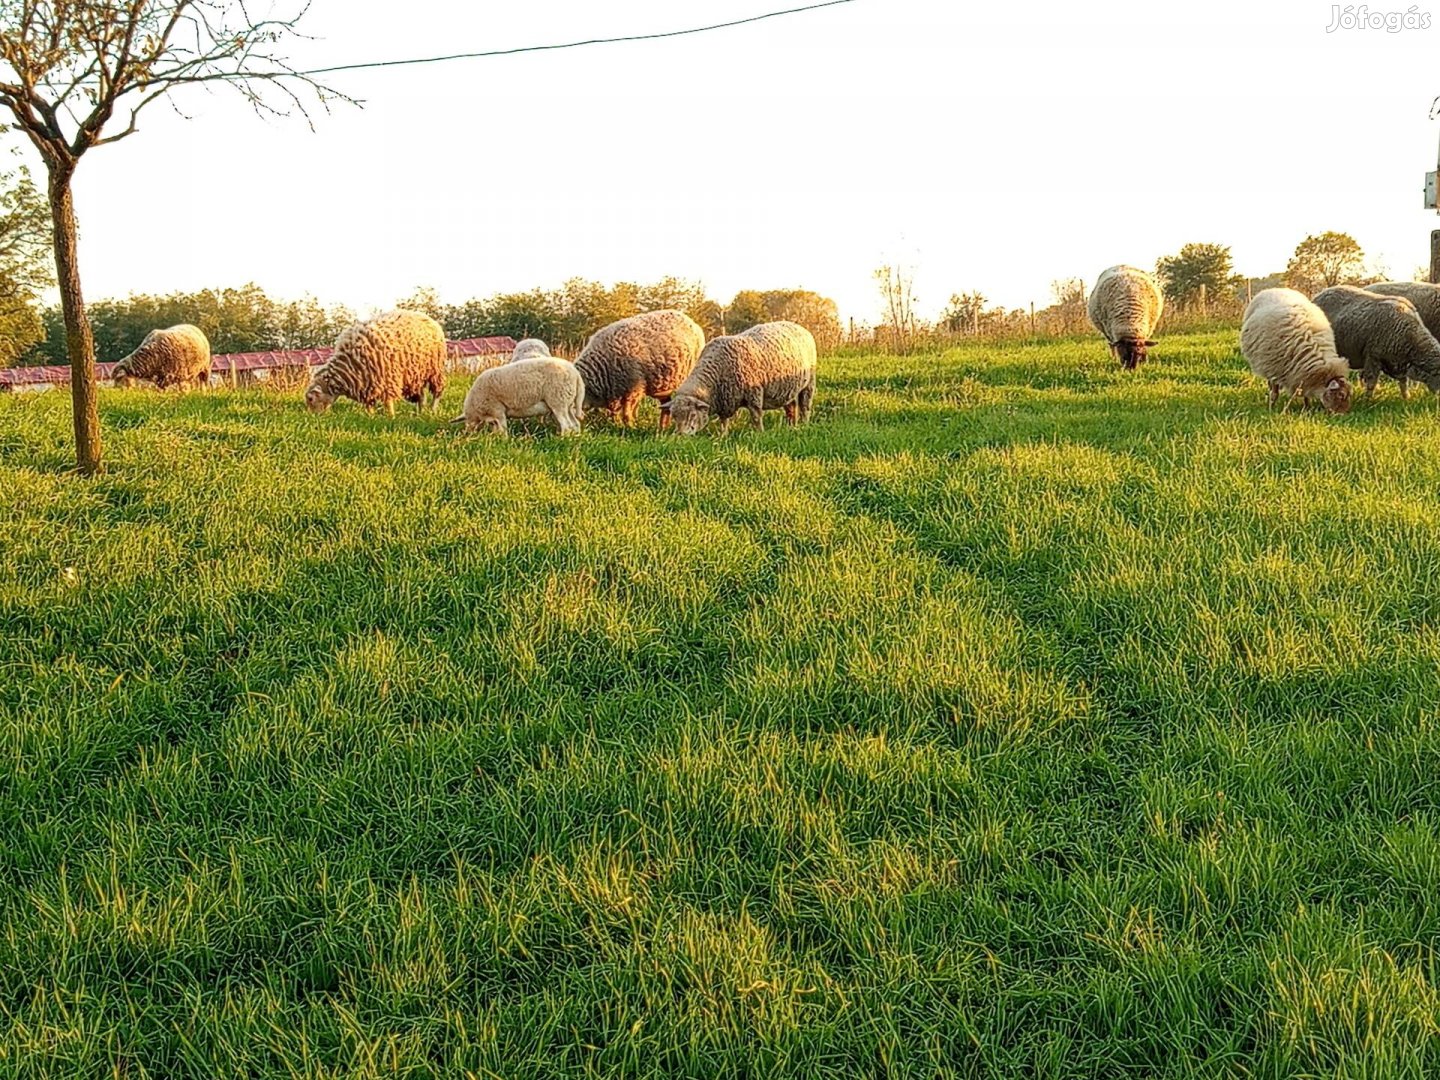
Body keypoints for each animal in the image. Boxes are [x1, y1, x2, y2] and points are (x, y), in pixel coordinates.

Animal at [299, 312, 443, 417]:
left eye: (310, 399)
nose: (313, 417)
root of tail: (426, 316)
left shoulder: (387, 380)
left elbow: (387, 402)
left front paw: (390, 416)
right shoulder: (367, 385)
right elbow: (369, 404)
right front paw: (371, 416)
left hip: (435, 370)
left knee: (436, 393)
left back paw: (432, 410)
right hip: (416, 374)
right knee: (421, 396)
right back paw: (420, 412)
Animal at [452, 357, 581, 437]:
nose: (468, 433)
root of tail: (575, 374)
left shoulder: (497, 409)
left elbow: (503, 427)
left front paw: (503, 440)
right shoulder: (493, 416)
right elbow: (497, 428)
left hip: (558, 400)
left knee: (566, 425)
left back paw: (561, 439)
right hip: (568, 403)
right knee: (574, 424)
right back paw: (575, 438)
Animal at [573, 308, 708, 426]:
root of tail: (691, 321)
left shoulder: (633, 388)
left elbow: (627, 414)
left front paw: (630, 427)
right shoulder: (618, 393)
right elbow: (615, 414)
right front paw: (620, 425)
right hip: (662, 386)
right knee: (666, 405)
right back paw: (662, 429)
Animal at [668, 319, 817, 437]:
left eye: (692, 415)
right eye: (674, 416)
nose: (680, 435)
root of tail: (799, 326)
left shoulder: (754, 394)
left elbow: (756, 417)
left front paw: (759, 433)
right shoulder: (724, 400)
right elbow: (724, 420)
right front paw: (722, 436)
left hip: (809, 383)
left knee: (805, 406)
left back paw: (804, 425)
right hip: (788, 389)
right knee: (791, 407)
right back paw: (791, 426)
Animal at [1244, 289, 1353, 417]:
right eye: (1341, 395)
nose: (1341, 415)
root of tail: (1275, 289)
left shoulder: (1303, 375)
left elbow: (1305, 393)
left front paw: (1307, 408)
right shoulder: (1274, 369)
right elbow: (1274, 393)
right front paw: (1271, 408)